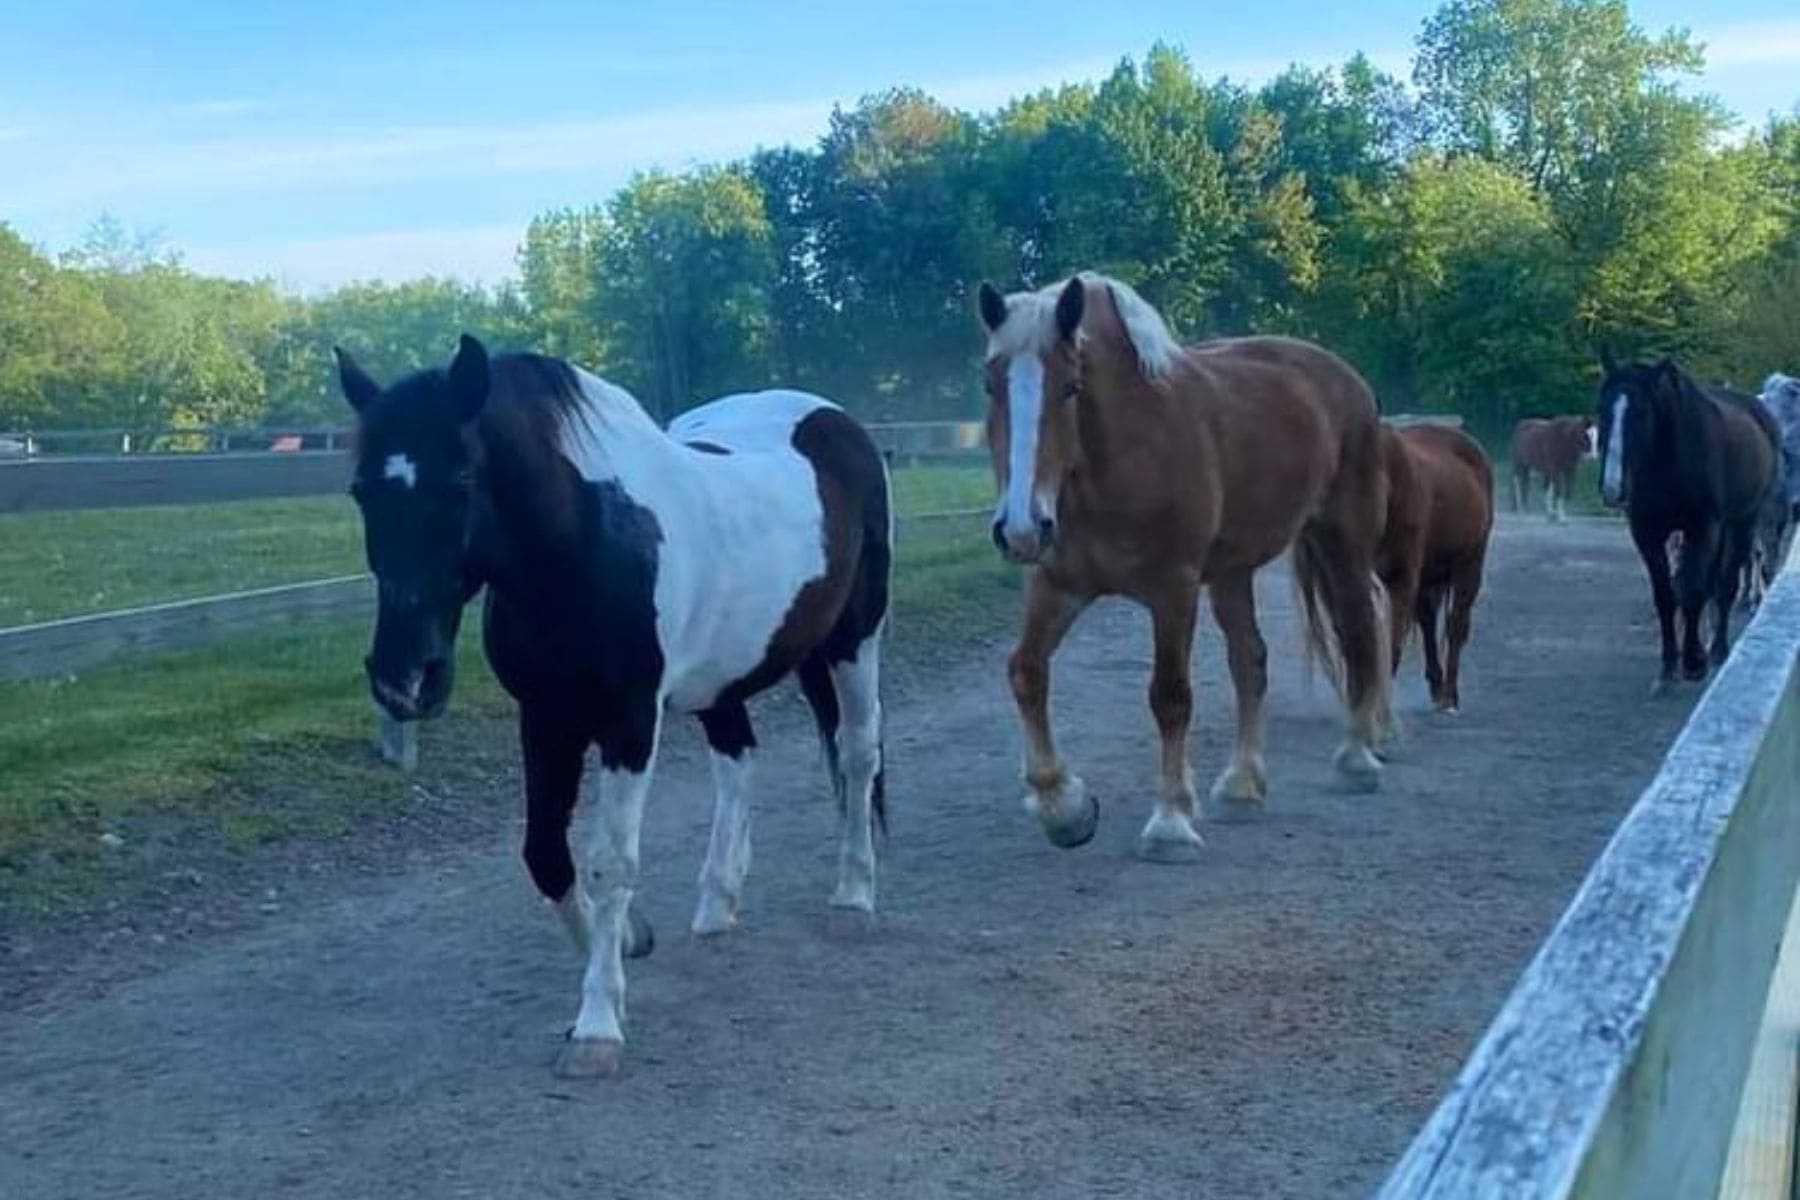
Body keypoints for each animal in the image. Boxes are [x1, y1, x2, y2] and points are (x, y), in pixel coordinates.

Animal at [335, 335, 891, 1077]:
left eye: (459, 485)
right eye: (361, 491)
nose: (404, 679)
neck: (585, 541)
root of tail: (834, 420)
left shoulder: (629, 719)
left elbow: (610, 860)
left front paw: (598, 1025)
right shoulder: (545, 715)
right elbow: (546, 853)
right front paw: (629, 941)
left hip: (855, 638)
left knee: (857, 755)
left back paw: (854, 898)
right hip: (722, 677)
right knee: (737, 760)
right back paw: (718, 902)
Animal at [975, 272, 1391, 863]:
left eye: (1070, 388)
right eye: (991, 386)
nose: (1021, 528)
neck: (1121, 455)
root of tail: (1347, 380)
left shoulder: (1173, 590)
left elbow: (1169, 696)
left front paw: (1169, 822)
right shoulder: (1057, 586)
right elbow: (1026, 673)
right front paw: (1065, 808)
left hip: (1343, 544)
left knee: (1358, 635)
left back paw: (1356, 759)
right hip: (1234, 572)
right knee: (1250, 661)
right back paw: (1242, 786)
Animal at [1375, 423, 1495, 715]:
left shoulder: (1401, 576)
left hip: (1470, 563)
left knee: (1455, 625)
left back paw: (1449, 696)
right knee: (1429, 621)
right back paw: (1437, 686)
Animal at [1596, 349, 1780, 690]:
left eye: (1641, 412)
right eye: (1600, 409)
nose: (1613, 488)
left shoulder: (1702, 527)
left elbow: (1693, 591)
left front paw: (1693, 662)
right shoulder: (1647, 531)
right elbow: (1666, 595)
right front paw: (1668, 667)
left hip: (1742, 522)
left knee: (1725, 585)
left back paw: (1718, 650)